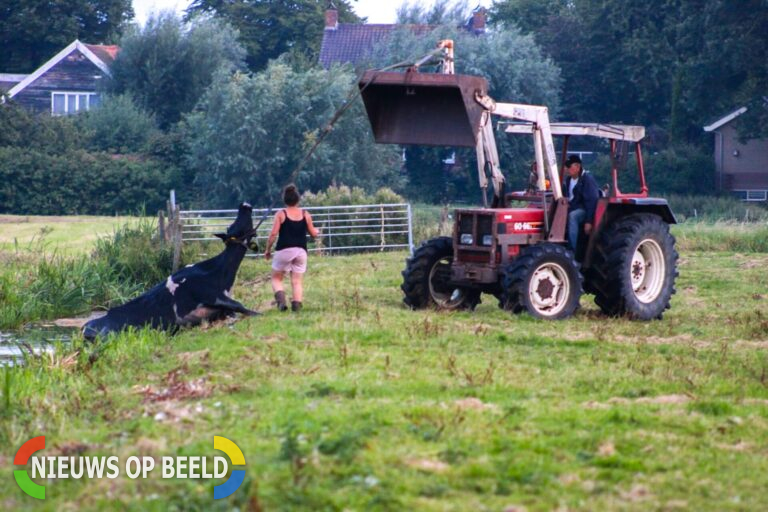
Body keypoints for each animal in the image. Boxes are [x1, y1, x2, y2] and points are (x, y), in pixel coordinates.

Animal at [83, 203, 260, 340]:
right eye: (235, 226)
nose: (243, 205)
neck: (221, 272)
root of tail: (85, 328)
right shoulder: (208, 293)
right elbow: (239, 306)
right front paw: (260, 314)